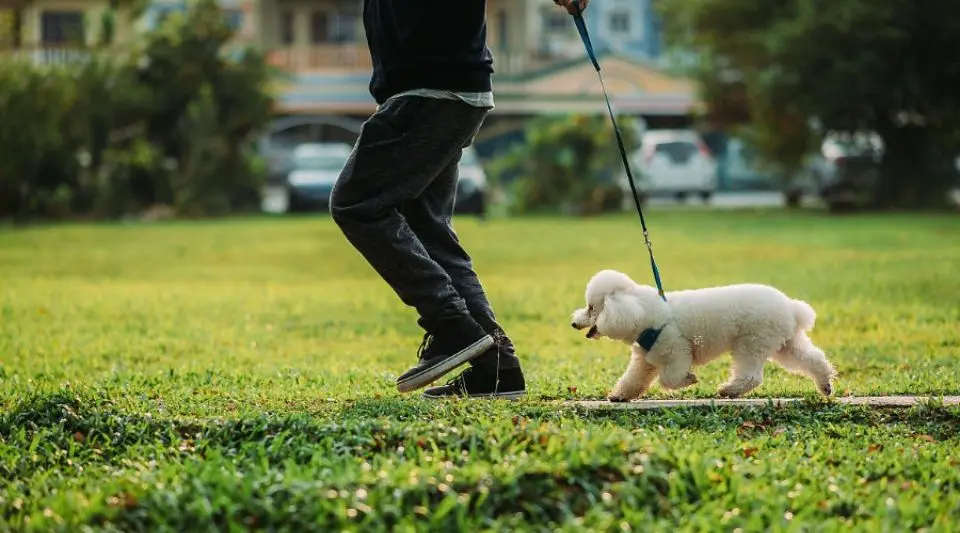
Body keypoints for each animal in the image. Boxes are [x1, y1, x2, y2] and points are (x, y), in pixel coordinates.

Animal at [572, 268, 836, 402]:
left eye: (591, 308)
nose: (574, 323)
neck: (643, 312)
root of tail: (792, 308)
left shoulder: (676, 350)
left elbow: (669, 379)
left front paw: (689, 379)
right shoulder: (645, 359)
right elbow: (634, 378)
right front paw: (619, 395)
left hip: (752, 341)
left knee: (752, 375)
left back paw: (729, 390)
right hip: (784, 343)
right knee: (812, 359)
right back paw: (825, 385)